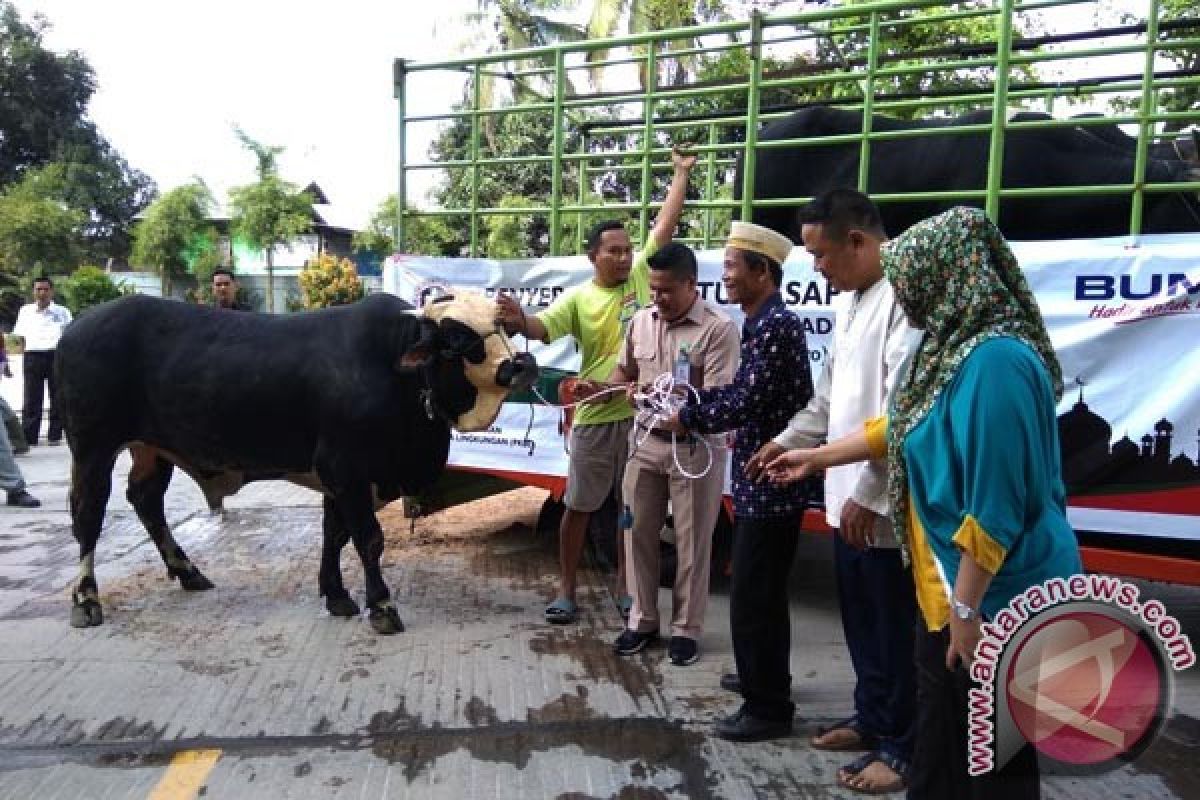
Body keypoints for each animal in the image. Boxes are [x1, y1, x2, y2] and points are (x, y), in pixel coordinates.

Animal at [56, 291, 535, 633]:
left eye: (503, 327)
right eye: (459, 338)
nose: (518, 366)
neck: (395, 370)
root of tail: (78, 325)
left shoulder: (339, 478)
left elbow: (334, 535)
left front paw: (336, 595)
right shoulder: (347, 469)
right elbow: (368, 540)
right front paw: (381, 605)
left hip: (151, 449)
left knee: (145, 500)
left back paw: (187, 570)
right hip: (92, 448)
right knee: (88, 514)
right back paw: (86, 599)